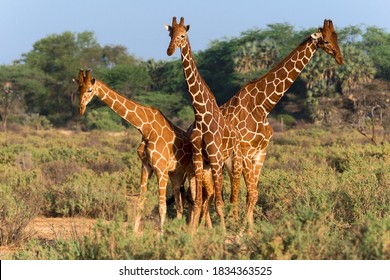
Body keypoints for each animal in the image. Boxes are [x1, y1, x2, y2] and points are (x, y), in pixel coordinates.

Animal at [74, 69, 195, 233]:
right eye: (78, 89)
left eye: (90, 90)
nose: (80, 109)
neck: (145, 128)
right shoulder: (146, 166)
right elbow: (140, 202)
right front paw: (133, 232)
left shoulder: (160, 168)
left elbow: (161, 206)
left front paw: (161, 234)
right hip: (176, 174)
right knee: (180, 205)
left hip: (189, 172)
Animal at [165, 16, 244, 231]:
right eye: (170, 34)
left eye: (183, 35)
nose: (169, 50)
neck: (200, 115)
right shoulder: (200, 160)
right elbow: (199, 200)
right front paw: (192, 233)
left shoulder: (216, 159)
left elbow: (219, 202)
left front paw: (223, 233)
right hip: (210, 166)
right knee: (208, 196)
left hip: (231, 162)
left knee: (234, 196)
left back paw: (236, 226)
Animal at [219, 19, 344, 230]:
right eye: (326, 41)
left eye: (336, 37)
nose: (340, 58)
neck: (262, 106)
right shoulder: (245, 151)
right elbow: (249, 192)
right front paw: (243, 230)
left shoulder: (261, 152)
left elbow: (253, 194)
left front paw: (251, 229)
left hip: (227, 163)